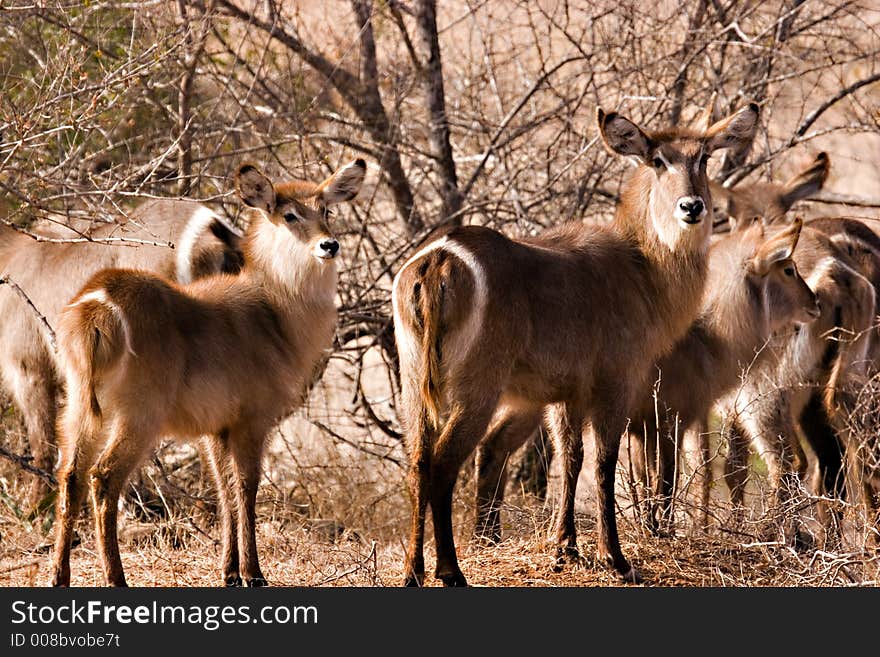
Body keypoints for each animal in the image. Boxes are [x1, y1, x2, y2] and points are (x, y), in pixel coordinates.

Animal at [49, 158, 366, 584]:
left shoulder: (215, 429)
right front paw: (253, 573)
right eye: (289, 214)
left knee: (70, 476)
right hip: (138, 417)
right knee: (103, 477)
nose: (329, 245)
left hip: (79, 409)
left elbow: (223, 488)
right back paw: (116, 577)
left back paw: (59, 575)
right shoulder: (253, 419)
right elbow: (246, 488)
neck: (274, 311)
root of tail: (97, 302)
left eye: (327, 210)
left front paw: (229, 572)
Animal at [392, 102, 756, 584]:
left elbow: (570, 458)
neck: (642, 268)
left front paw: (565, 548)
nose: (692, 206)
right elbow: (603, 464)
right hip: (476, 390)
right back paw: (451, 572)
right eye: (658, 160)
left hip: (415, 384)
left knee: (417, 463)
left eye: (704, 158)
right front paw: (614, 558)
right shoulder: (615, 383)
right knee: (443, 463)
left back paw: (414, 571)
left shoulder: (565, 395)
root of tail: (439, 259)